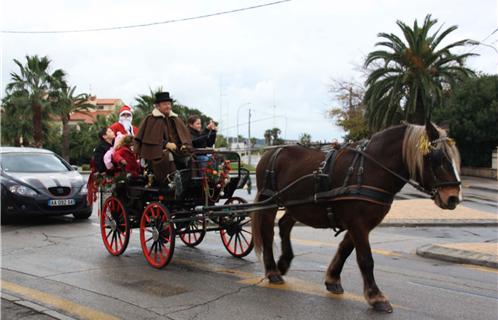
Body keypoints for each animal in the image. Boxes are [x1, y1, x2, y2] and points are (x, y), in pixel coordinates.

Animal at [251, 122, 462, 312]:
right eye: (438, 159)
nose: (453, 198)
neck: (370, 168)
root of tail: (270, 153)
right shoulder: (357, 223)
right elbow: (366, 259)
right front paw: (376, 297)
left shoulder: (360, 223)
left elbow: (345, 249)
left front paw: (332, 279)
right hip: (270, 201)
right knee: (268, 233)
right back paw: (272, 271)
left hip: (297, 205)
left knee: (284, 225)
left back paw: (284, 262)